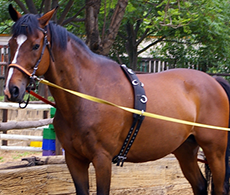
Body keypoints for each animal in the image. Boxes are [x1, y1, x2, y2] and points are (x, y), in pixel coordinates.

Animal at [4, 4, 230, 195]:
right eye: (12, 43)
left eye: (35, 46)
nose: (12, 89)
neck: (86, 95)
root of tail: (214, 81)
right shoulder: (75, 160)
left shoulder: (102, 159)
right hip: (185, 150)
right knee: (200, 186)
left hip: (215, 151)